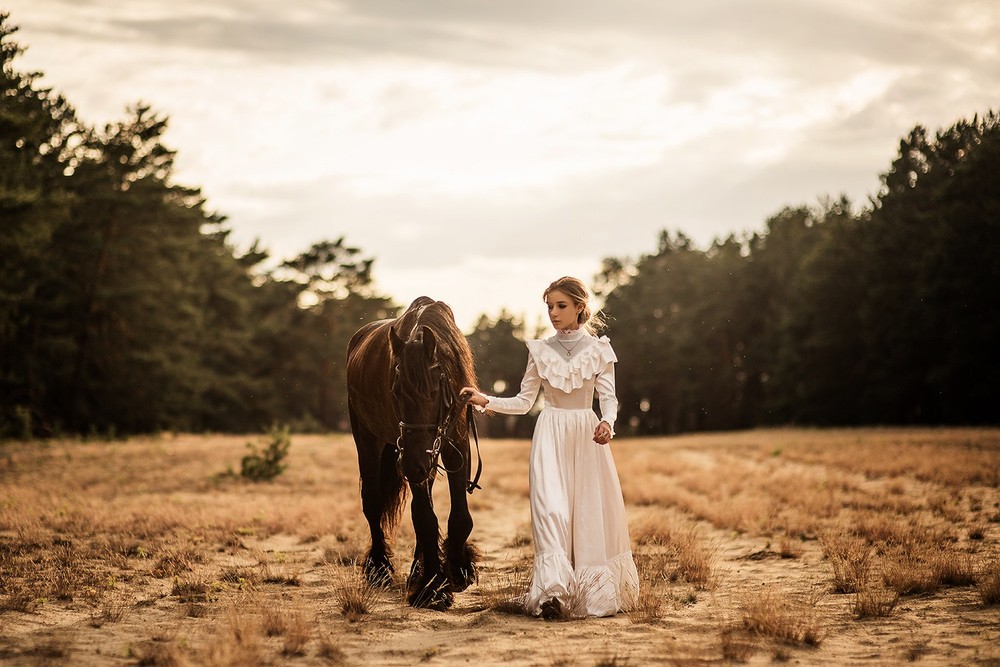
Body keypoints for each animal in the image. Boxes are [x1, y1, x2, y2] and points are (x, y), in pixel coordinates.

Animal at [346, 298, 482, 612]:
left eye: (433, 390)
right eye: (395, 392)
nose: (412, 465)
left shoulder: (454, 443)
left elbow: (459, 516)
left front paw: (457, 570)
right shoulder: (413, 457)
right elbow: (424, 518)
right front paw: (433, 587)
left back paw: (416, 570)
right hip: (368, 441)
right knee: (372, 503)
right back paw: (380, 569)